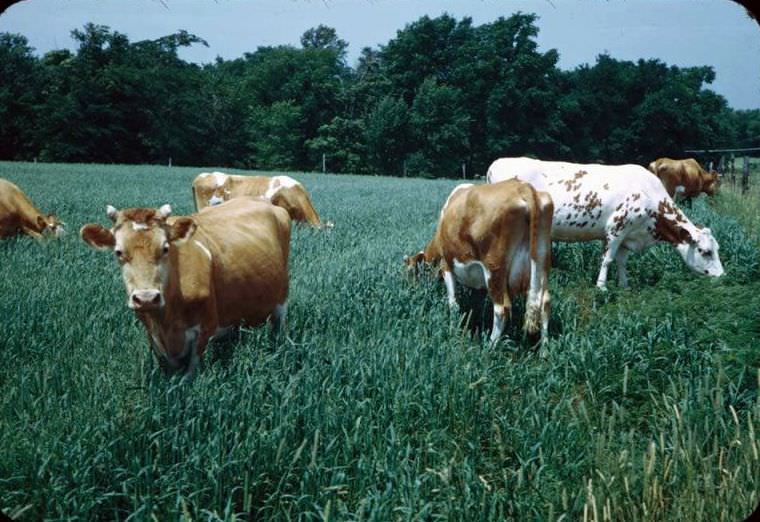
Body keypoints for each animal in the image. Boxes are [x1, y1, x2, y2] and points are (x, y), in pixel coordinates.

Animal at [80, 197, 291, 372]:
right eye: (118, 252)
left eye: (165, 248)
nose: (147, 298)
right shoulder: (152, 333)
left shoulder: (205, 328)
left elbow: (189, 375)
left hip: (281, 303)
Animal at [405, 179, 553, 344]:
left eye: (410, 272)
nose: (411, 291)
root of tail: (522, 186)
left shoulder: (446, 265)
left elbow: (453, 303)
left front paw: (454, 329)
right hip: (542, 263)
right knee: (545, 303)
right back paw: (544, 347)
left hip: (493, 269)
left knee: (502, 309)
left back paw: (490, 345)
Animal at [487, 157, 724, 290]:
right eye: (705, 251)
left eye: (717, 249)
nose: (722, 276)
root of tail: (497, 163)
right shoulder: (616, 230)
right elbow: (607, 260)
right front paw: (601, 287)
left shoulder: (629, 236)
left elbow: (621, 262)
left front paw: (624, 285)